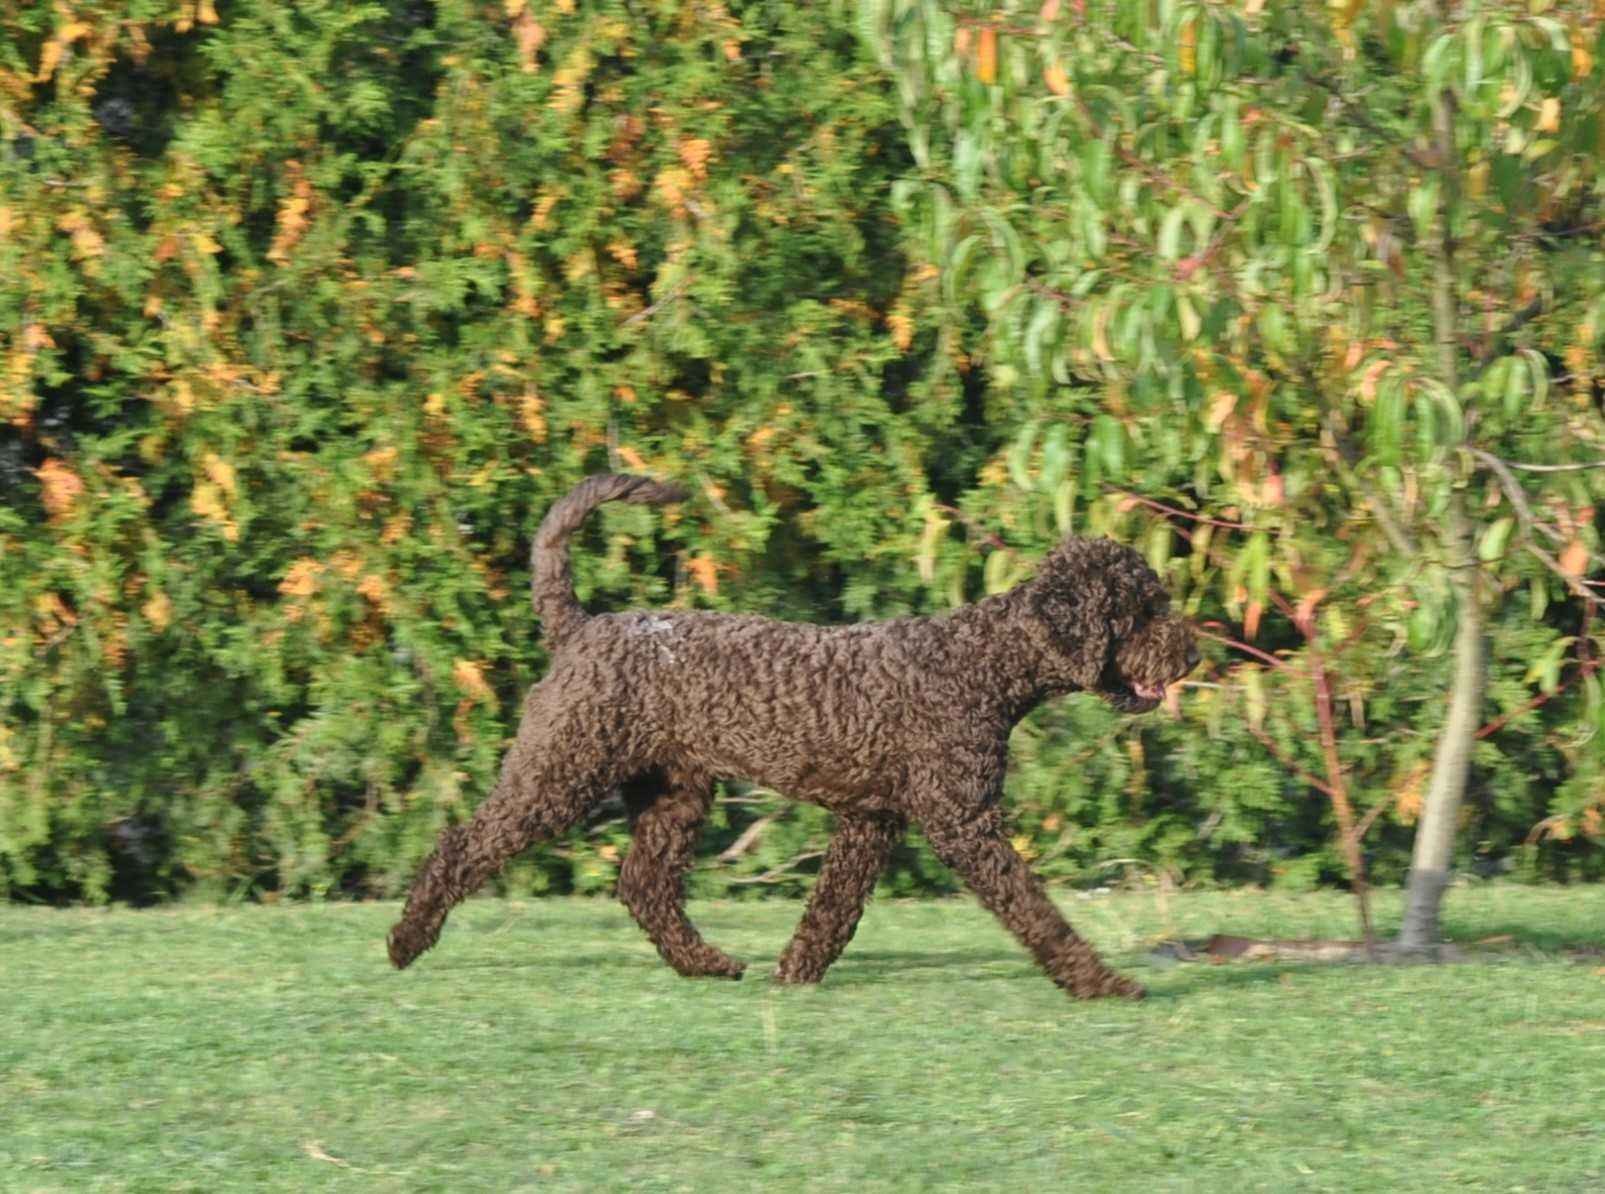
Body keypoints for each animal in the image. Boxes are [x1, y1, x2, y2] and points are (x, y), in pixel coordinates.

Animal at [388, 471, 1194, 995]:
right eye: (1143, 611)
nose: (1191, 656)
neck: (977, 664)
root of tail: (582, 628)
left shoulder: (870, 821)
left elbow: (831, 910)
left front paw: (794, 974)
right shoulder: (964, 823)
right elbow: (1036, 912)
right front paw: (1101, 981)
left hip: (673, 794)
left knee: (644, 887)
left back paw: (709, 965)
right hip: (558, 774)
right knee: (461, 845)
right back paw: (405, 942)